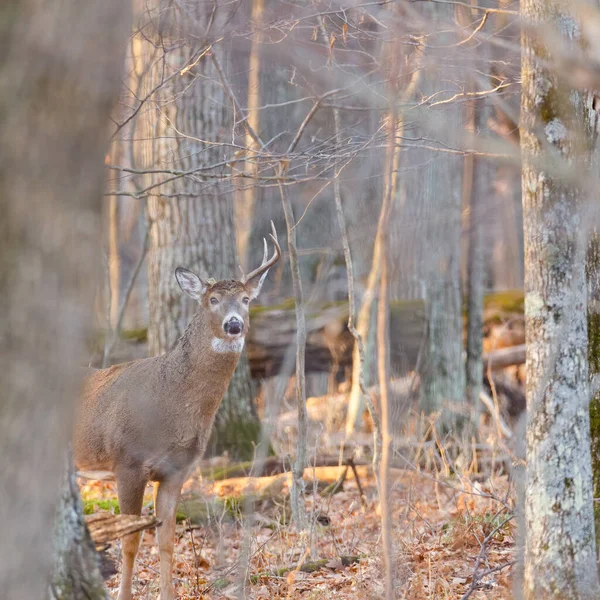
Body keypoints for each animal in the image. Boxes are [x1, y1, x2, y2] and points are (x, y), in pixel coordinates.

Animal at [72, 221, 282, 600]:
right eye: (212, 300)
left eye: (246, 300)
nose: (234, 324)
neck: (169, 405)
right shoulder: (127, 463)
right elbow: (131, 540)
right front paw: (124, 594)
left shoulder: (176, 470)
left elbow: (166, 541)